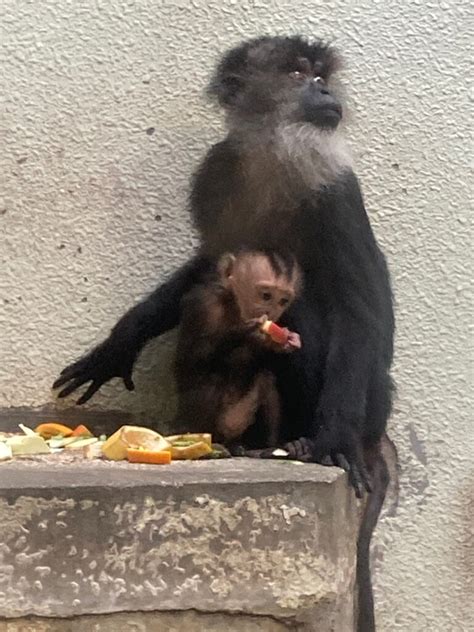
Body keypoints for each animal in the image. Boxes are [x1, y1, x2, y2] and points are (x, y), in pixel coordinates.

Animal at [173, 249, 300, 452]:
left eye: (283, 301)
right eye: (266, 296)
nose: (271, 313)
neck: (234, 306)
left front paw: (284, 342)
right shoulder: (202, 305)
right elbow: (189, 361)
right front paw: (243, 332)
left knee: (267, 380)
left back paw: (270, 447)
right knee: (211, 381)